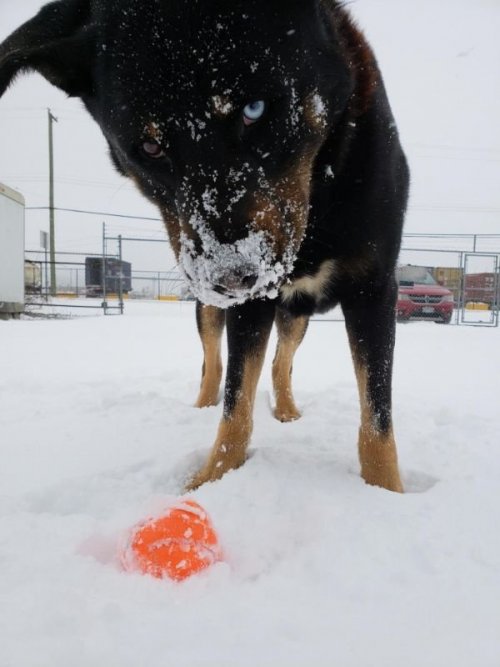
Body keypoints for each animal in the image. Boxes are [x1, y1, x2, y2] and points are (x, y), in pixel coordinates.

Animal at [0, 0, 410, 490]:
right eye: (150, 146)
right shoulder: (249, 306)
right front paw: (213, 478)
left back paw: (286, 409)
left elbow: (377, 415)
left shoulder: (374, 288)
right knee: (213, 363)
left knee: (283, 361)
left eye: (254, 109)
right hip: (213, 310)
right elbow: (236, 401)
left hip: (295, 313)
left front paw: (386, 492)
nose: (230, 275)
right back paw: (203, 403)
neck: (320, 195)